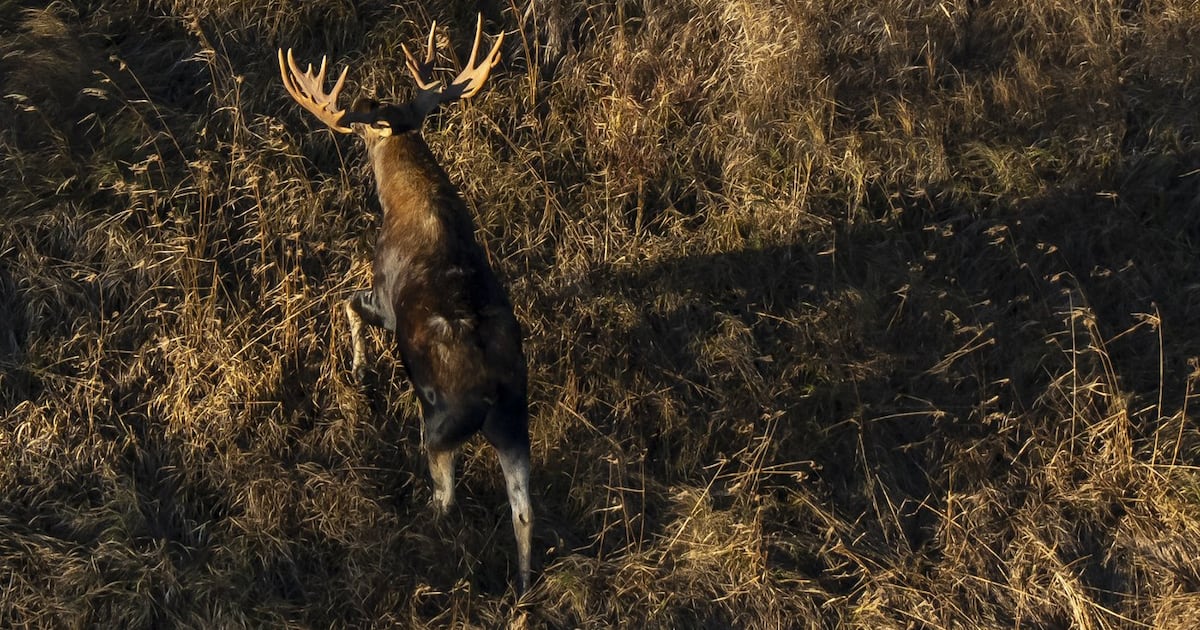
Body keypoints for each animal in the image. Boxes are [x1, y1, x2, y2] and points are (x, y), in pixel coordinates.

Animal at [277, 16, 532, 595]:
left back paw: (424, 534)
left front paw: (357, 369)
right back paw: (525, 588)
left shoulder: (385, 299)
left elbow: (348, 304)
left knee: (447, 493)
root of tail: (492, 391)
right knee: (524, 510)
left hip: (439, 422)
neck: (407, 198)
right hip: (516, 422)